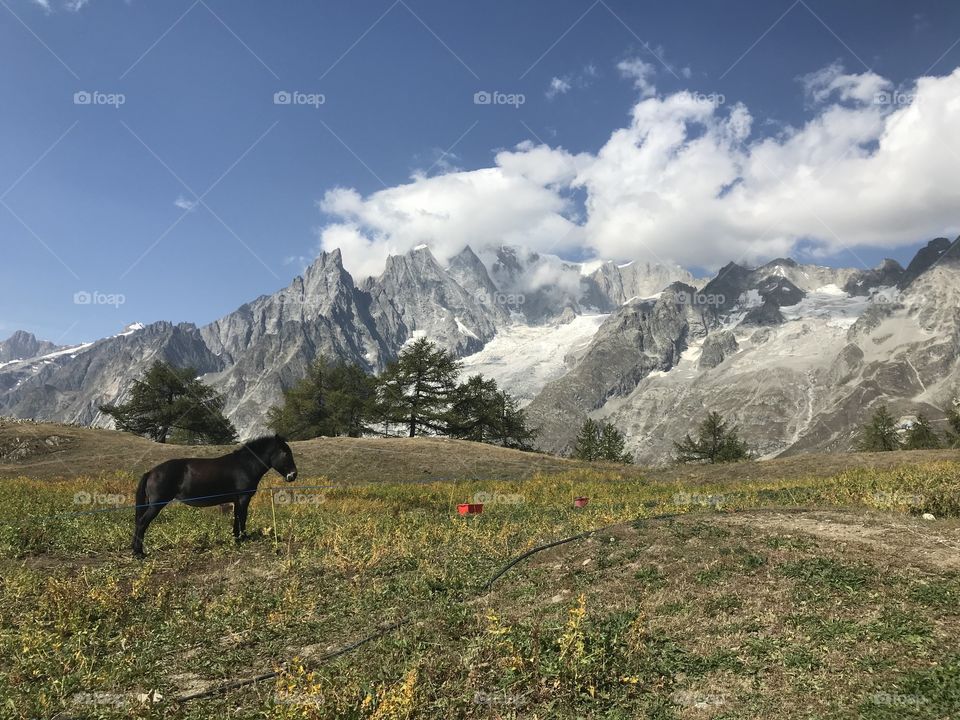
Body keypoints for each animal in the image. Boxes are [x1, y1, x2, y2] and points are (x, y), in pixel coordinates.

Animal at [131, 434, 296, 556]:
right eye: (285, 452)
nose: (293, 475)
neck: (245, 465)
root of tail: (151, 472)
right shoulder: (243, 499)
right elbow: (242, 517)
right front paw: (243, 538)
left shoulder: (236, 500)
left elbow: (236, 517)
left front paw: (236, 538)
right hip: (156, 505)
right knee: (142, 523)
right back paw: (139, 553)